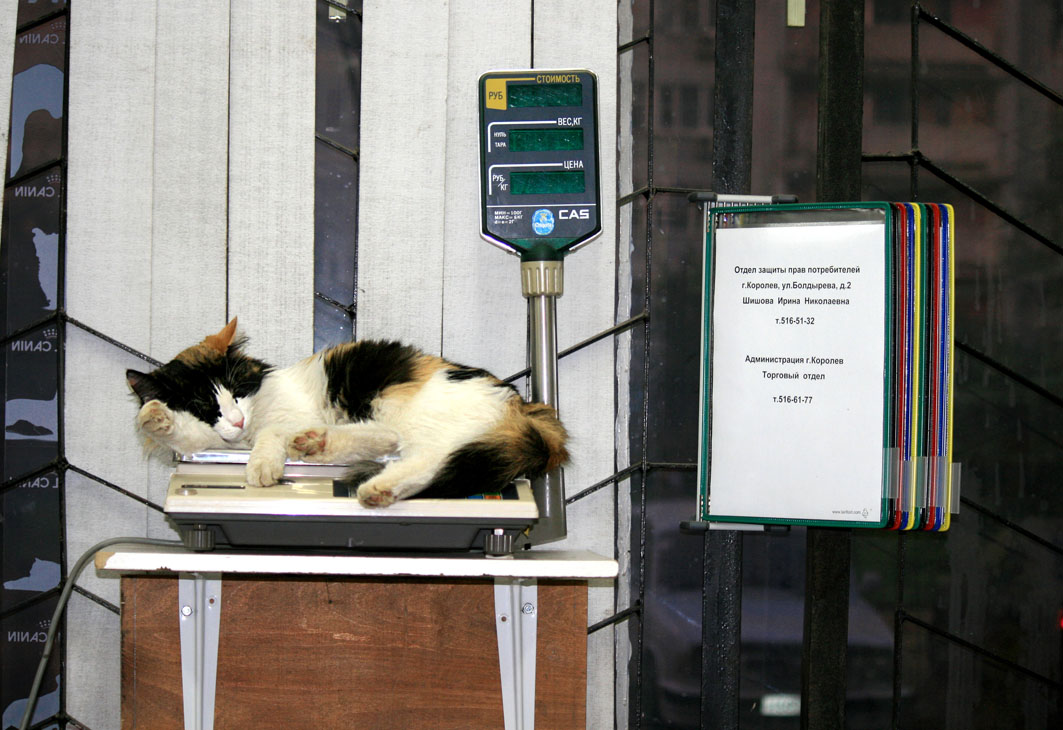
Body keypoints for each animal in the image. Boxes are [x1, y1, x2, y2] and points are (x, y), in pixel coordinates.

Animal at [127, 316, 569, 512]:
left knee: (430, 460)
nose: (236, 421)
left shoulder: (282, 416)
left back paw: (373, 487)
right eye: (206, 407)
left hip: (421, 419)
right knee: (391, 445)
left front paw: (262, 467)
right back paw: (319, 447)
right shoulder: (213, 439)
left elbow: (272, 434)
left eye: (237, 391)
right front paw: (155, 416)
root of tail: (524, 405)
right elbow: (185, 434)